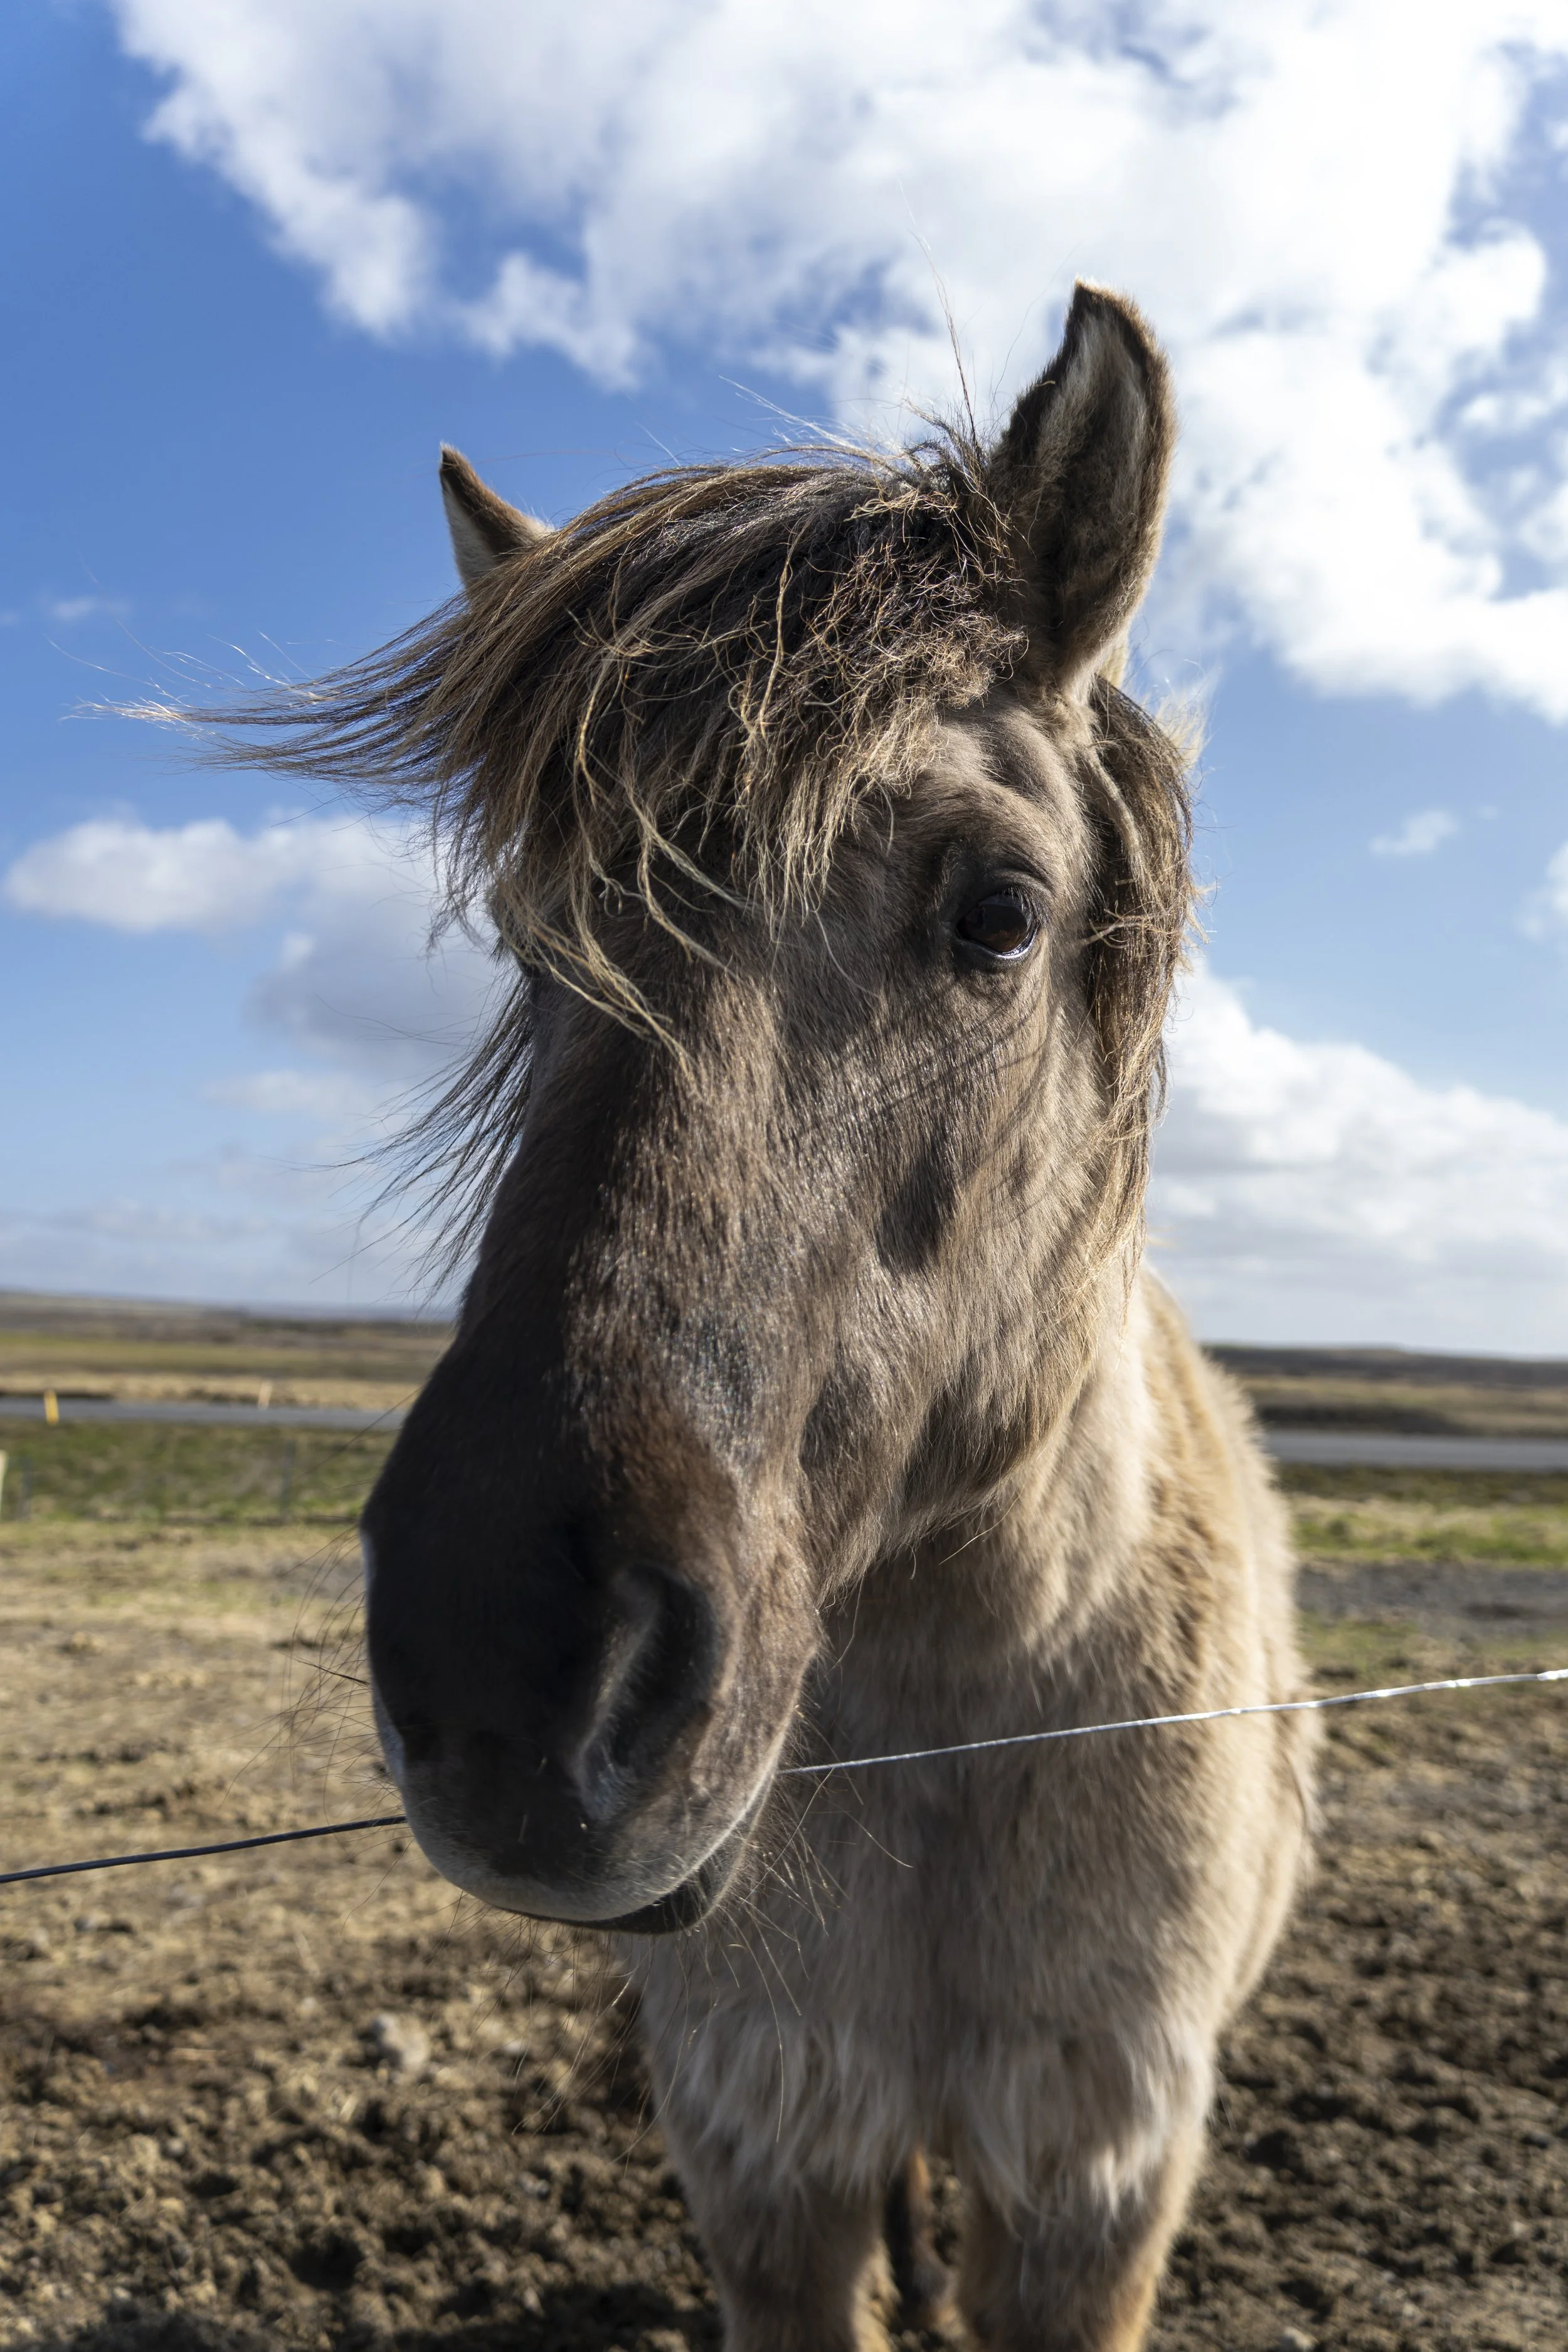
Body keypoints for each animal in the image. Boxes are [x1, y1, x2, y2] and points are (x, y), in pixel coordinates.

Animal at [233, 283, 1314, 2351]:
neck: (943, 1727)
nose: (511, 1679)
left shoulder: (1093, 2180)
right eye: (532, 937)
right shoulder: (767, 2152)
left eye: (998, 911)